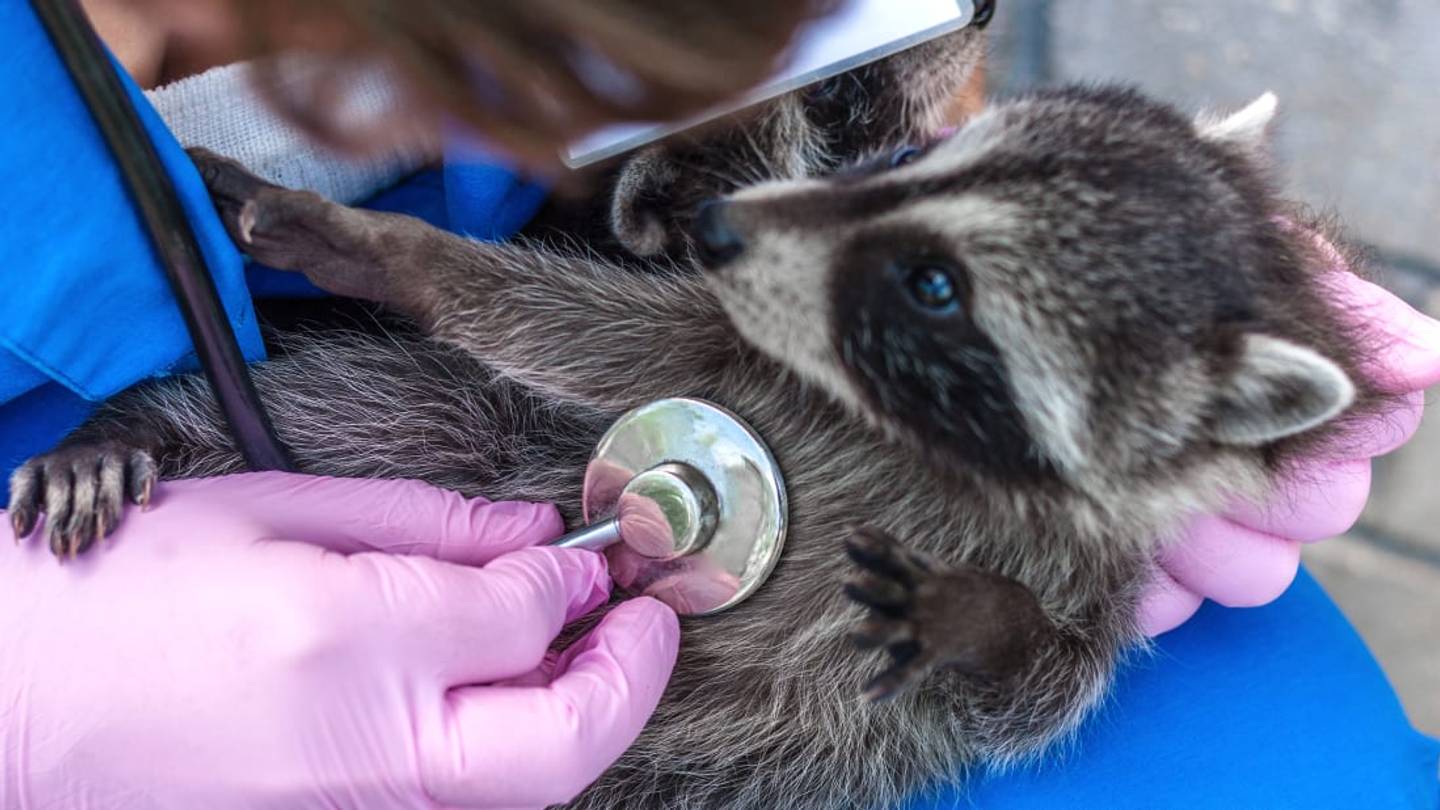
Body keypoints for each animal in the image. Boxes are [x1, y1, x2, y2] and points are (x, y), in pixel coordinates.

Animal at [8, 82, 1386, 810]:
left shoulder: (1091, 568)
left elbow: (1036, 688)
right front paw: (389, 250)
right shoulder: (727, 357)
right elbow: (563, 326)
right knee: (359, 410)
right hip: (413, 428)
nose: (728, 231)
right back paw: (136, 431)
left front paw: (981, 620)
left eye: (937, 283)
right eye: (910, 171)